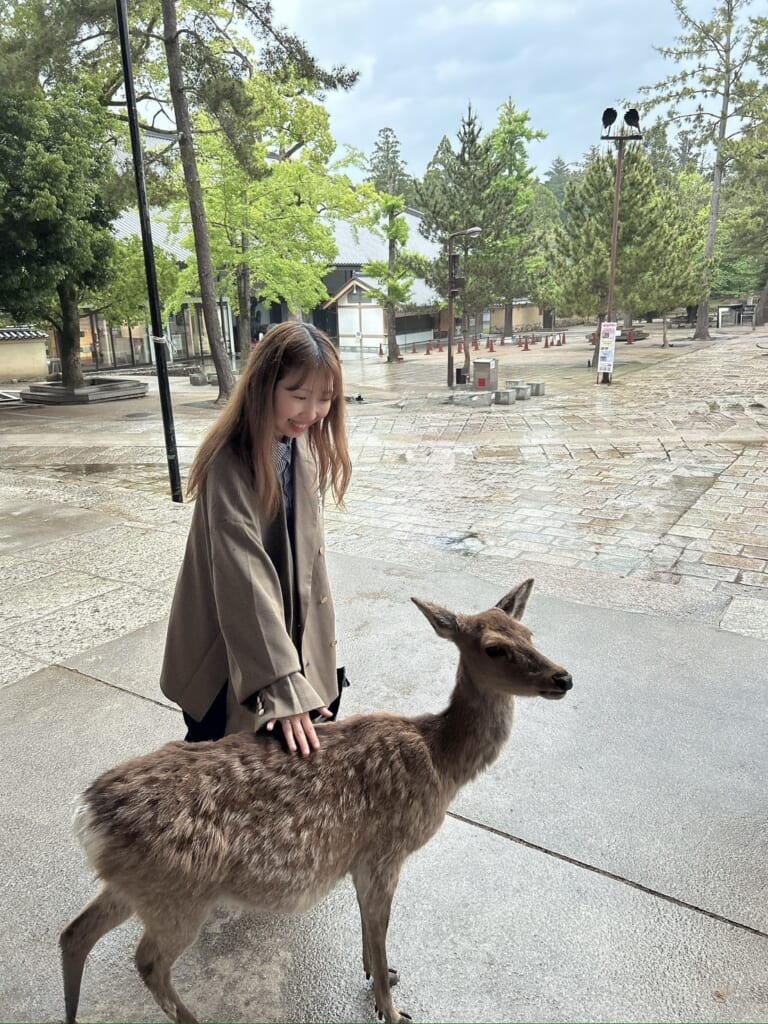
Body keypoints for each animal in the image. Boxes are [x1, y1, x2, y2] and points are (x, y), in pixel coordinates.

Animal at [60, 579, 572, 1024]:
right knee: (148, 962)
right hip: (179, 895)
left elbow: (369, 927)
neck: (440, 760)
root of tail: (87, 816)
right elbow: (380, 928)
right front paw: (390, 1009)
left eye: (530, 634)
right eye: (495, 648)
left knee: (73, 934)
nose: (563, 677)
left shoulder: (360, 858)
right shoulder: (386, 851)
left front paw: (381, 975)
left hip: (137, 886)